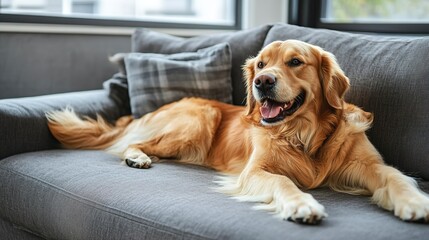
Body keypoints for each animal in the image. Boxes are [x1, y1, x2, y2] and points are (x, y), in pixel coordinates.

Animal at [46, 39, 428, 225]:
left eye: (295, 62)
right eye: (260, 64)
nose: (262, 82)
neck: (303, 135)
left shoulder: (368, 165)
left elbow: (395, 177)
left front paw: (414, 202)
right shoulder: (256, 171)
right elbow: (283, 181)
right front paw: (302, 204)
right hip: (197, 120)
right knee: (137, 142)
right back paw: (137, 158)